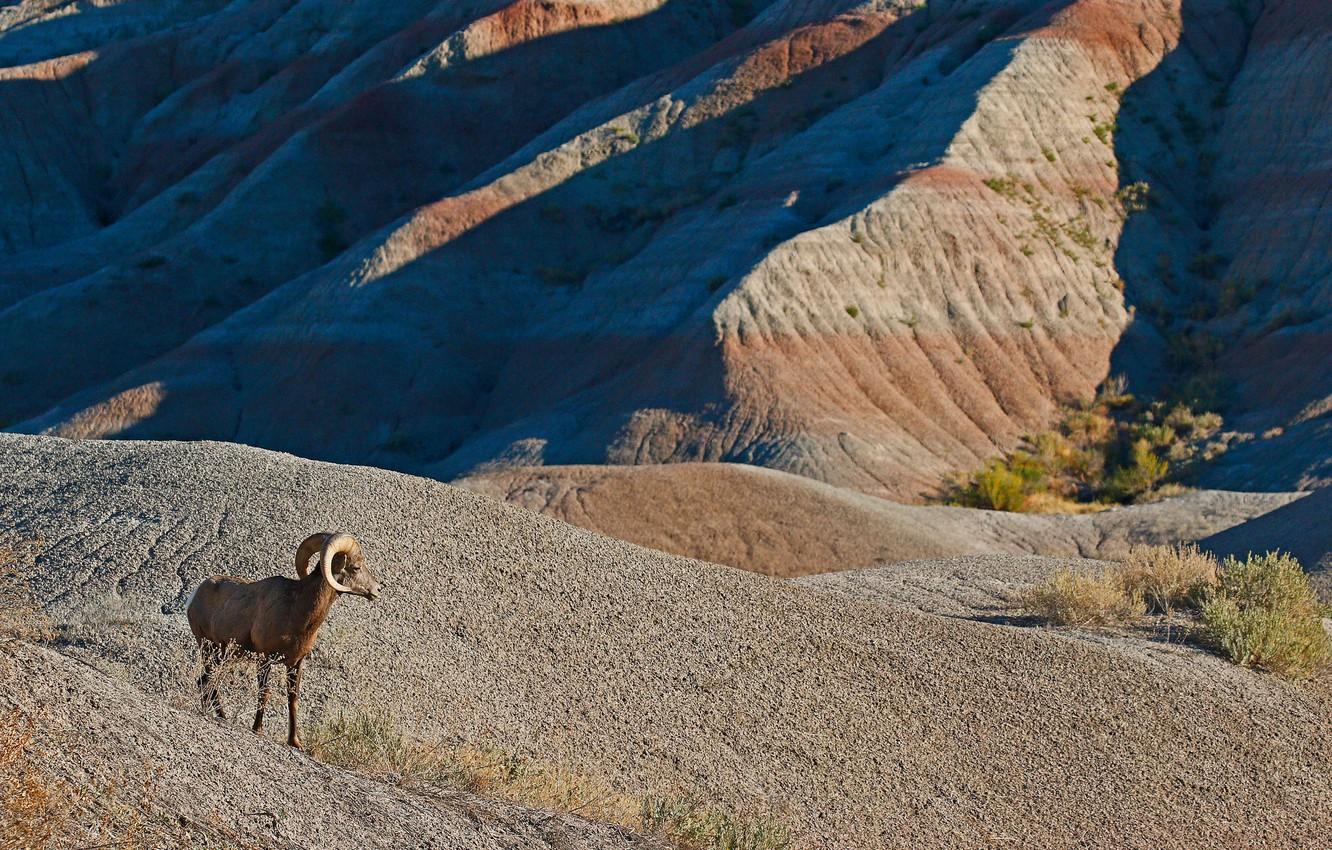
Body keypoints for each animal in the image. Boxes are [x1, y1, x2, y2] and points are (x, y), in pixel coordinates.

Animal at [186, 532, 381, 749]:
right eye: (356, 567)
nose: (377, 589)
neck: (297, 610)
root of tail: (194, 596)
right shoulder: (265, 659)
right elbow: (264, 693)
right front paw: (258, 730)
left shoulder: (296, 663)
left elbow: (292, 699)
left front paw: (295, 742)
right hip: (209, 649)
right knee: (208, 681)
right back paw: (217, 715)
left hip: (223, 656)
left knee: (206, 681)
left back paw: (219, 716)